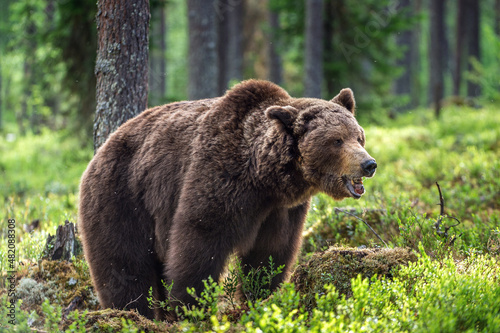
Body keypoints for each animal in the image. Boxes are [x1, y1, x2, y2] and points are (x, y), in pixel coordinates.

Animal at [78, 78, 376, 320]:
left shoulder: (281, 211)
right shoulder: (219, 179)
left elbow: (270, 252)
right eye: (336, 140)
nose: (369, 164)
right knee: (124, 263)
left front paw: (261, 295)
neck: (264, 179)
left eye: (359, 136)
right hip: (122, 196)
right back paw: (131, 312)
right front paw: (191, 306)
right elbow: (199, 241)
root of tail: (101, 149)